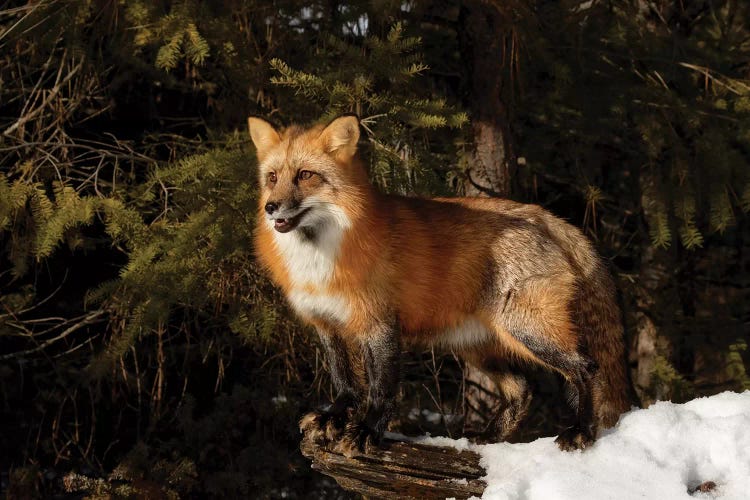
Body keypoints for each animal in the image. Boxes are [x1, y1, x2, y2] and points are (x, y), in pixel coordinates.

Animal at [250, 115, 632, 456]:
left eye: (305, 175)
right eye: (272, 177)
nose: (271, 207)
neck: (321, 260)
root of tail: (547, 217)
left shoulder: (379, 325)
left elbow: (381, 388)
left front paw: (366, 432)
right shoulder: (327, 324)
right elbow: (344, 381)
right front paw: (335, 418)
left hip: (527, 330)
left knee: (585, 368)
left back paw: (581, 432)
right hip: (476, 347)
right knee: (522, 389)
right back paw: (488, 438)